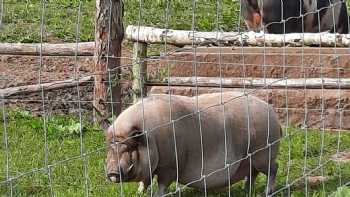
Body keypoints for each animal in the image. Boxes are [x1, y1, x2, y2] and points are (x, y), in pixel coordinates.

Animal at [106, 92, 282, 195]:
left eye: (129, 147)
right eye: (110, 148)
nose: (112, 172)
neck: (152, 138)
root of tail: (273, 115)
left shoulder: (170, 166)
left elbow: (162, 184)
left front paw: (156, 195)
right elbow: (145, 181)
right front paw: (138, 193)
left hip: (263, 153)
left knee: (273, 168)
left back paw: (267, 192)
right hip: (252, 157)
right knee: (253, 173)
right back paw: (246, 191)